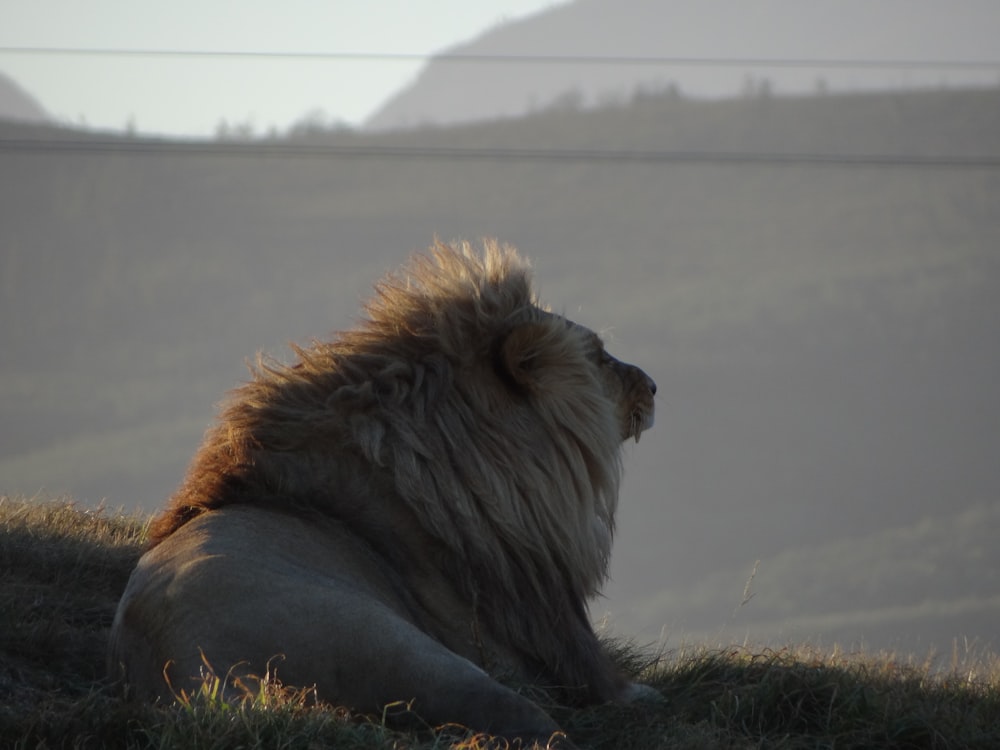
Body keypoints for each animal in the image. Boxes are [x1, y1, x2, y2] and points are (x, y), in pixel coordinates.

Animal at [109, 241, 656, 748]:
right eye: (601, 356)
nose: (653, 386)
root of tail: (191, 666)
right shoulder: (536, 634)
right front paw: (642, 693)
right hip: (405, 648)